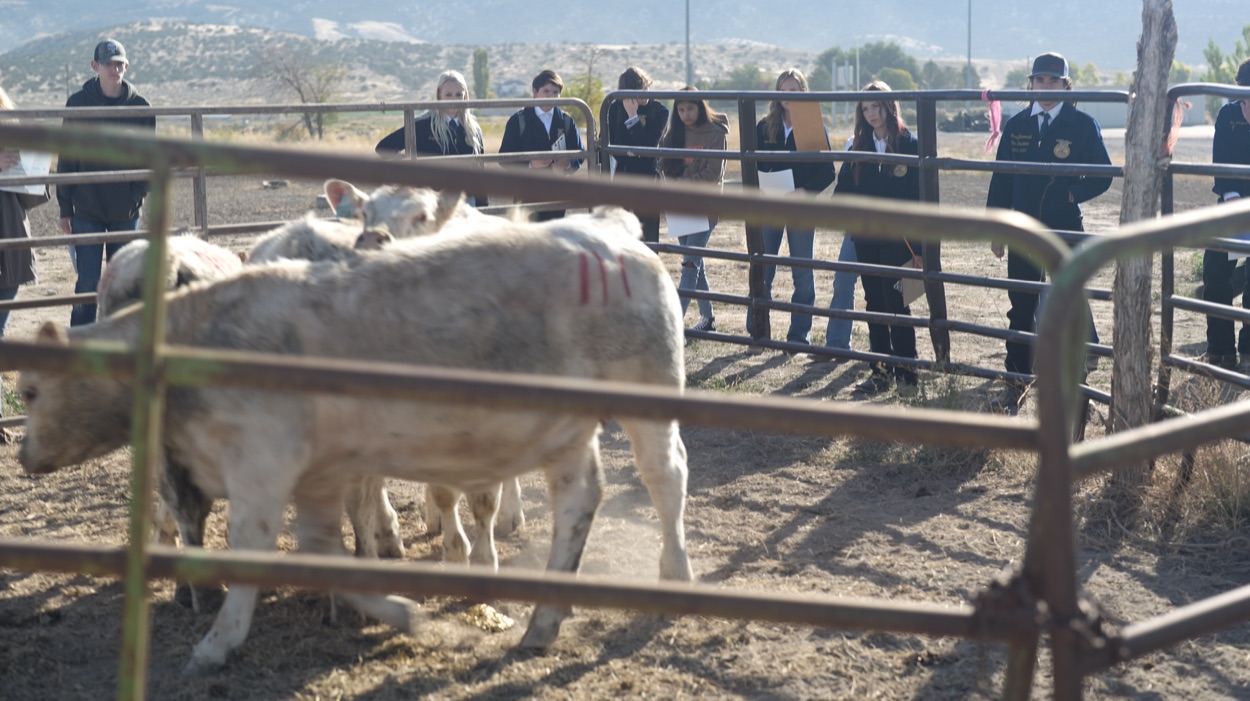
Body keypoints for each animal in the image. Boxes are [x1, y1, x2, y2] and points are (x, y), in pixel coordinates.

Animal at [14, 203, 695, 674]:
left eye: (29, 391)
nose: (23, 454)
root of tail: (611, 234)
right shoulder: (310, 472)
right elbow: (328, 542)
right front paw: (385, 605)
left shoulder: (264, 463)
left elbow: (254, 542)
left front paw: (217, 642)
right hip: (565, 430)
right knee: (579, 498)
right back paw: (544, 620)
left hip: (650, 394)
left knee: (665, 476)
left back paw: (675, 574)